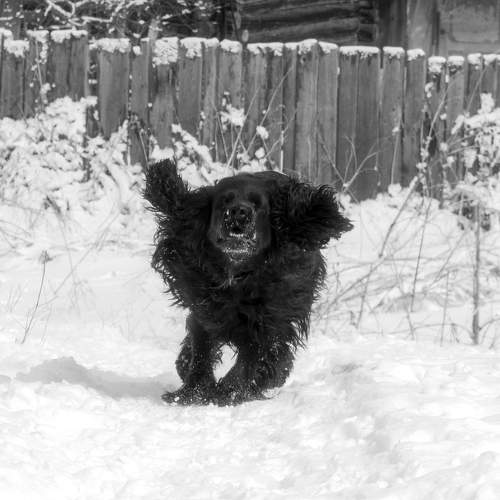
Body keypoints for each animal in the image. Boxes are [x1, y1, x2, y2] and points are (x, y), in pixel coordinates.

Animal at [144, 159, 352, 405]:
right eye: (224, 201)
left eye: (258, 205)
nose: (239, 212)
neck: (237, 277)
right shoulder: (205, 309)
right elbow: (201, 350)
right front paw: (192, 392)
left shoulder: (269, 321)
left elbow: (252, 358)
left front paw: (228, 392)